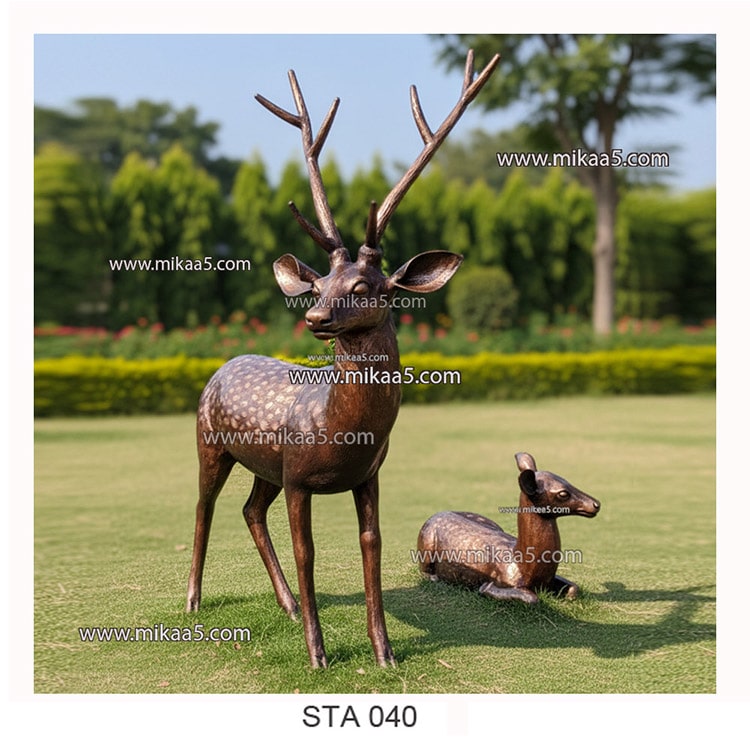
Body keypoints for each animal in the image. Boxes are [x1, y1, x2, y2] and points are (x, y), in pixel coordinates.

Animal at [185, 50, 500, 668]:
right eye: (318, 285)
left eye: (363, 286)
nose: (314, 318)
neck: (341, 430)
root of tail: (225, 364)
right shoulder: (300, 478)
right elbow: (307, 552)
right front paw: (318, 655)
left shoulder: (367, 476)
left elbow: (371, 547)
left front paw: (384, 654)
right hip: (211, 442)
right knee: (204, 506)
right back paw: (193, 601)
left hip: (266, 465)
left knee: (250, 510)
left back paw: (284, 605)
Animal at [416, 452, 601, 604]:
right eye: (563, 493)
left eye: (568, 480)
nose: (596, 504)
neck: (522, 564)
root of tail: (438, 512)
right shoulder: (493, 583)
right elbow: (531, 598)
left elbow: (574, 588)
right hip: (426, 546)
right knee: (425, 571)